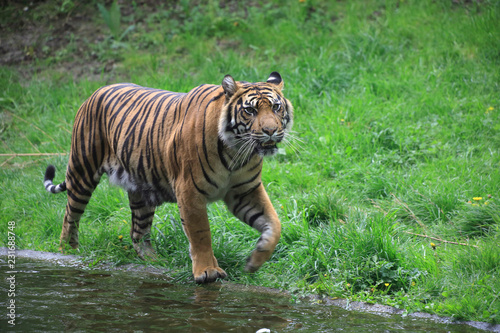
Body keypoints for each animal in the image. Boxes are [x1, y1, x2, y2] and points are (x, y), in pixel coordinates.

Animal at [44, 72, 292, 282]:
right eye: (250, 111)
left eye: (276, 107)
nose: (271, 131)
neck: (237, 153)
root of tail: (96, 91)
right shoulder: (189, 191)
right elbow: (200, 233)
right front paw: (207, 271)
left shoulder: (245, 190)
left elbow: (274, 224)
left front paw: (254, 261)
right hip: (82, 170)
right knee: (70, 215)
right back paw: (68, 252)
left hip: (140, 190)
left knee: (138, 232)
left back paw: (156, 261)